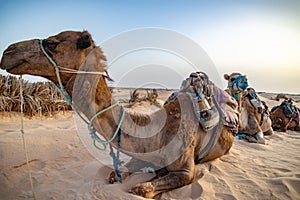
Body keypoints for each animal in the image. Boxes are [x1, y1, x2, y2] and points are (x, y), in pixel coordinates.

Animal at [0, 30, 239, 198]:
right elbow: (115, 174)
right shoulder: (140, 155)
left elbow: (140, 189)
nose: (7, 51)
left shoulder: (186, 170)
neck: (158, 133)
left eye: (52, 43)